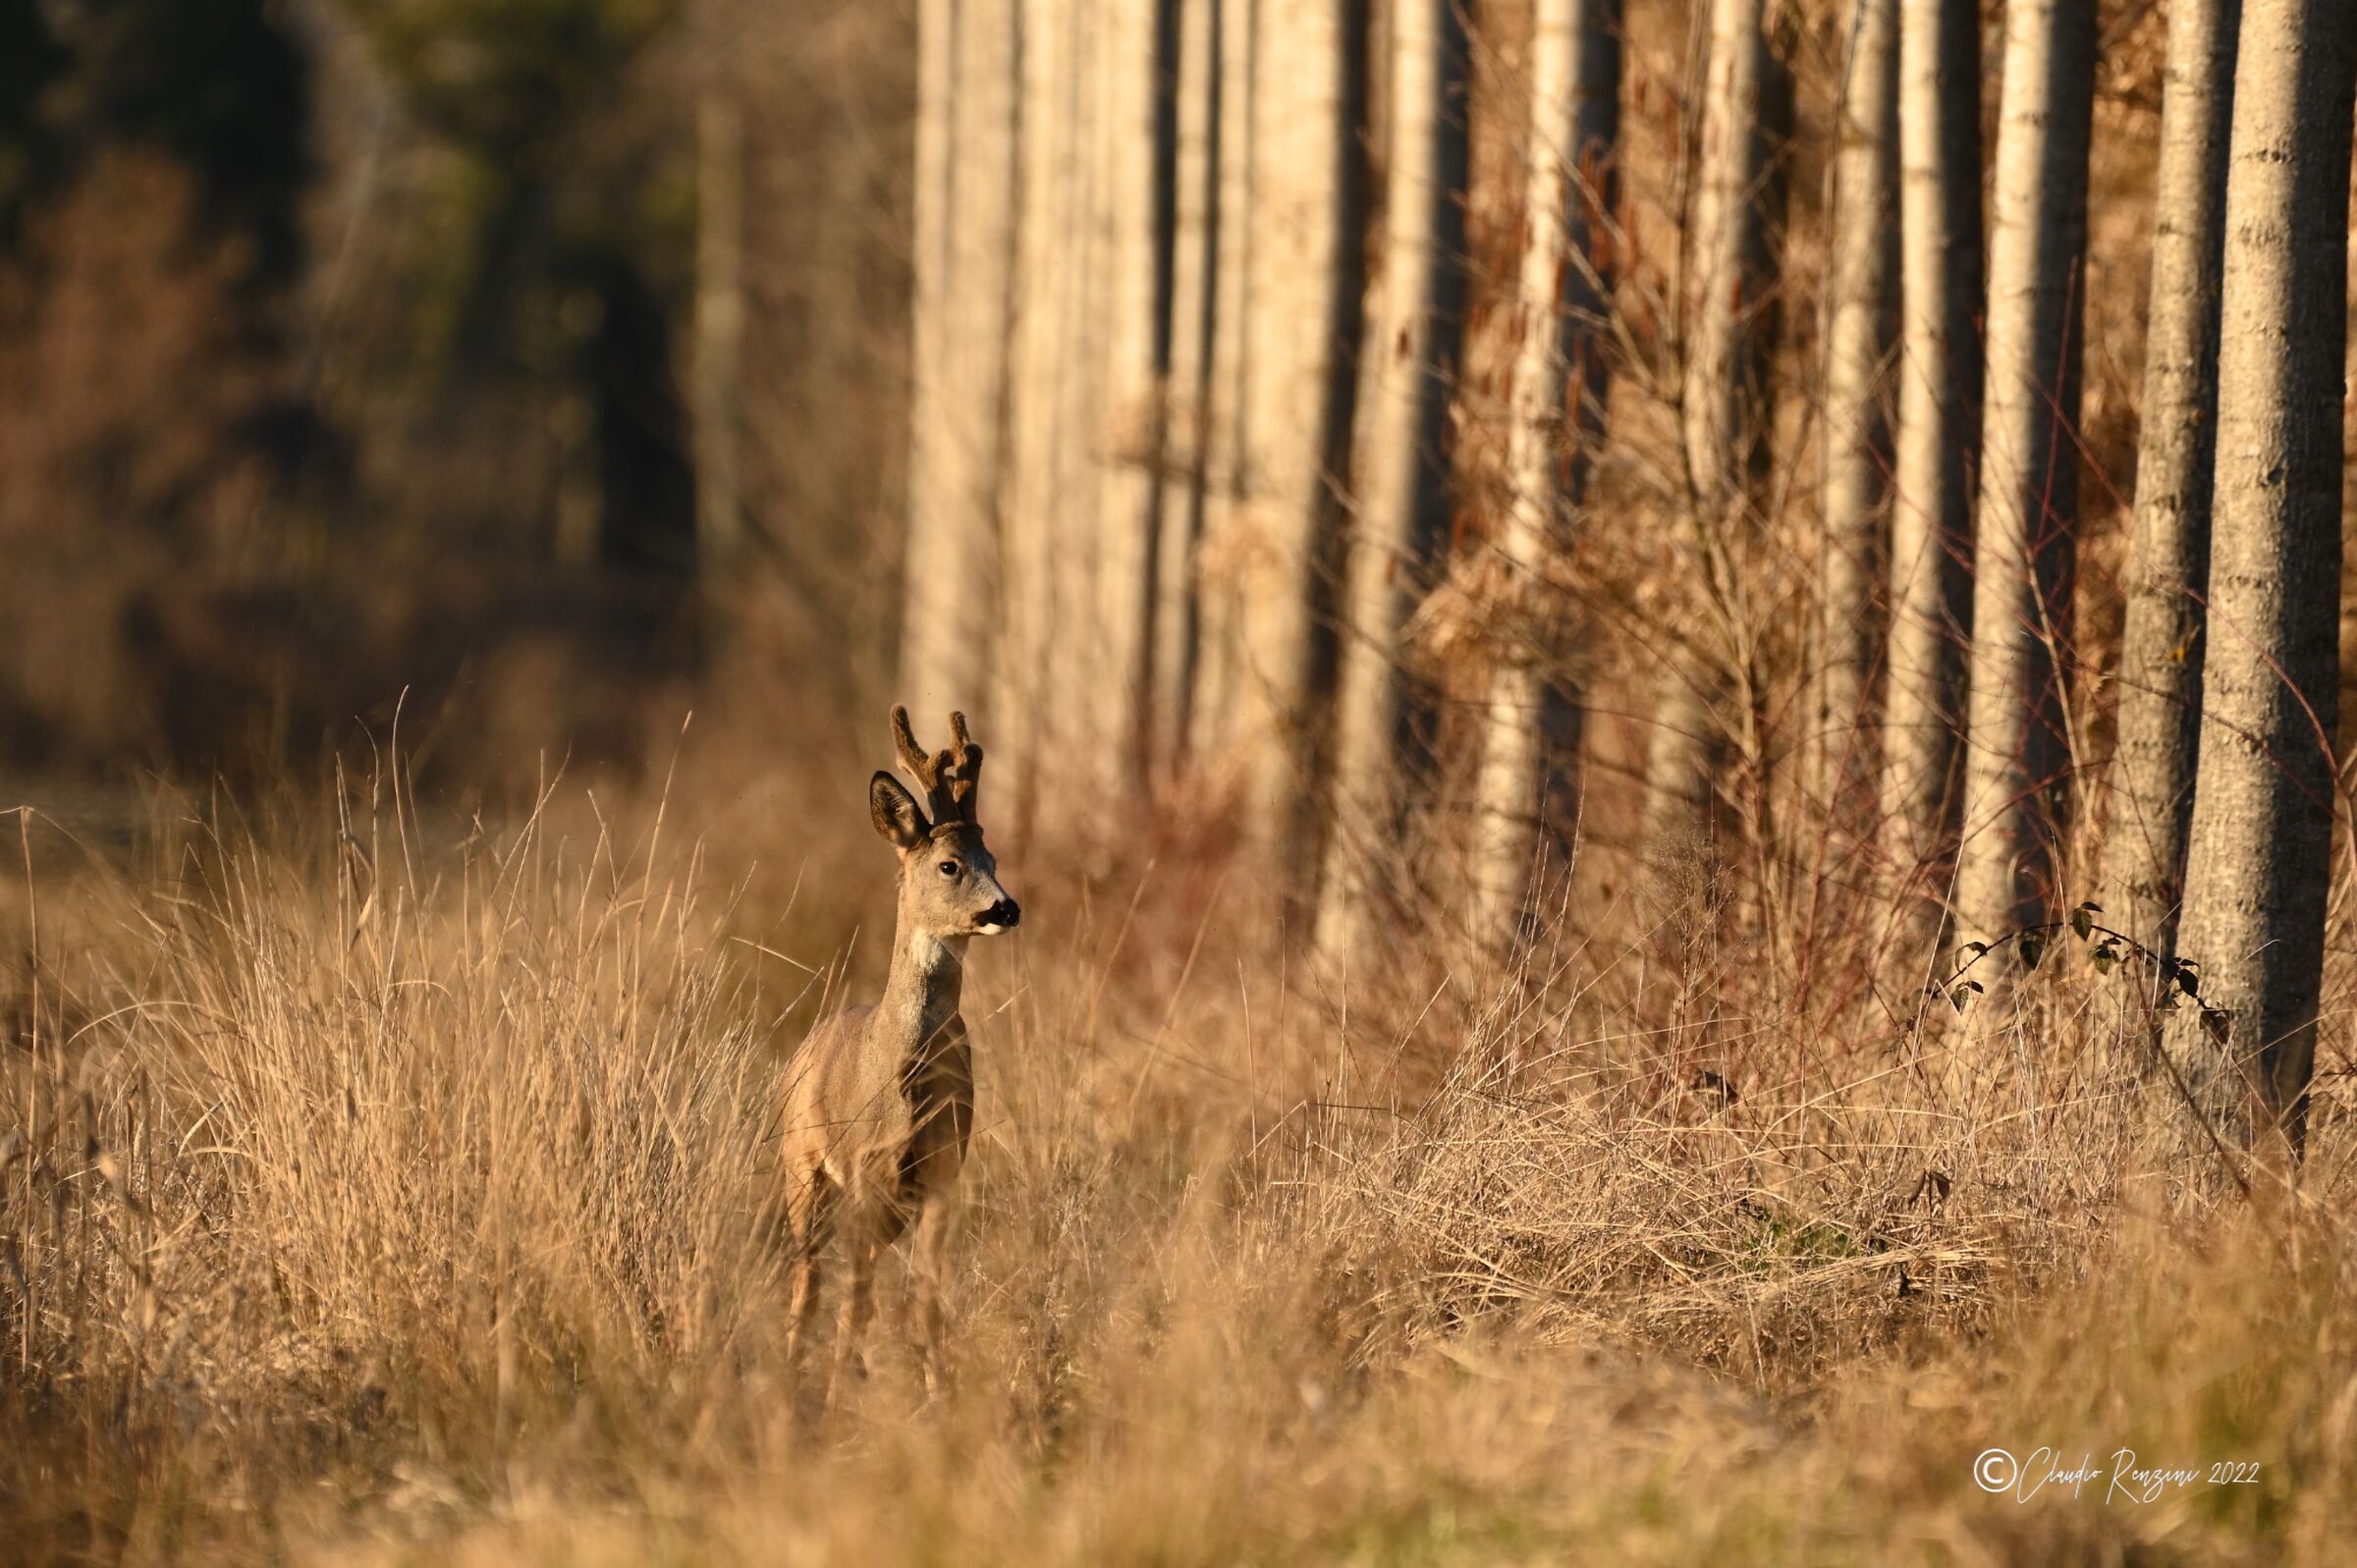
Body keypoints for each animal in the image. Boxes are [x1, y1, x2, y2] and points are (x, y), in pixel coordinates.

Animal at [779, 705, 1020, 1399]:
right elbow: (855, 1297)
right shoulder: (863, 1167)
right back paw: (793, 1378)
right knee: (810, 1279)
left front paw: (939, 1393)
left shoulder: (942, 1170)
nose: (1007, 908)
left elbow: (925, 1296)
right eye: (949, 866)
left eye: (994, 856)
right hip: (799, 1162)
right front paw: (838, 1397)